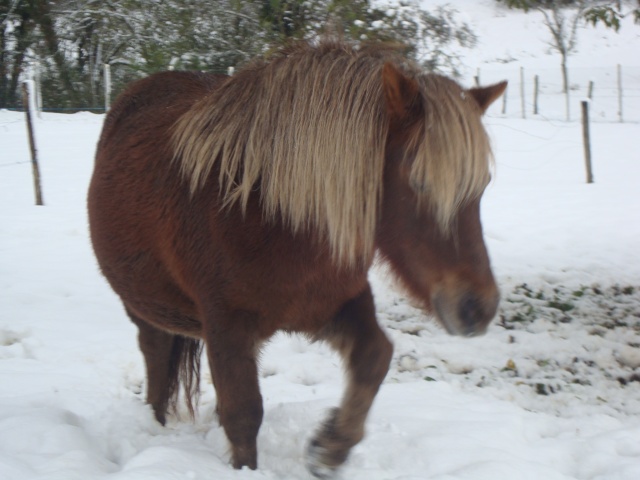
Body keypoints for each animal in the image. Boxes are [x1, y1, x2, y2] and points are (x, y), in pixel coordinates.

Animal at [87, 40, 504, 476]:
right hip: (144, 309)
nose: (478, 308)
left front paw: (330, 446)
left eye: (484, 183)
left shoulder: (331, 303)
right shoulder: (226, 329)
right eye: (419, 181)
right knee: (155, 363)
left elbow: (376, 356)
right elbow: (243, 416)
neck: (271, 216)